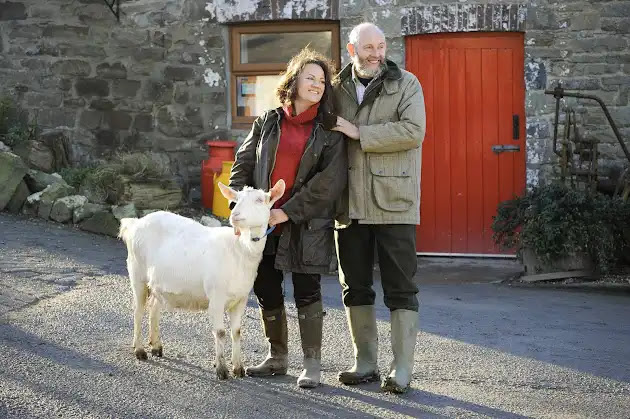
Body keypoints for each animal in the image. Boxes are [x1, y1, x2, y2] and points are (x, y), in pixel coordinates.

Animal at [118, 180, 286, 380]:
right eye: (236, 200)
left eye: (260, 200)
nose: (235, 216)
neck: (239, 250)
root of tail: (135, 223)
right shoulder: (216, 296)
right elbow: (220, 332)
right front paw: (221, 369)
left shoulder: (241, 299)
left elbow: (236, 332)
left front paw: (238, 368)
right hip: (137, 272)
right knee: (138, 310)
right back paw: (139, 350)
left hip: (159, 283)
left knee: (153, 309)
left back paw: (156, 346)